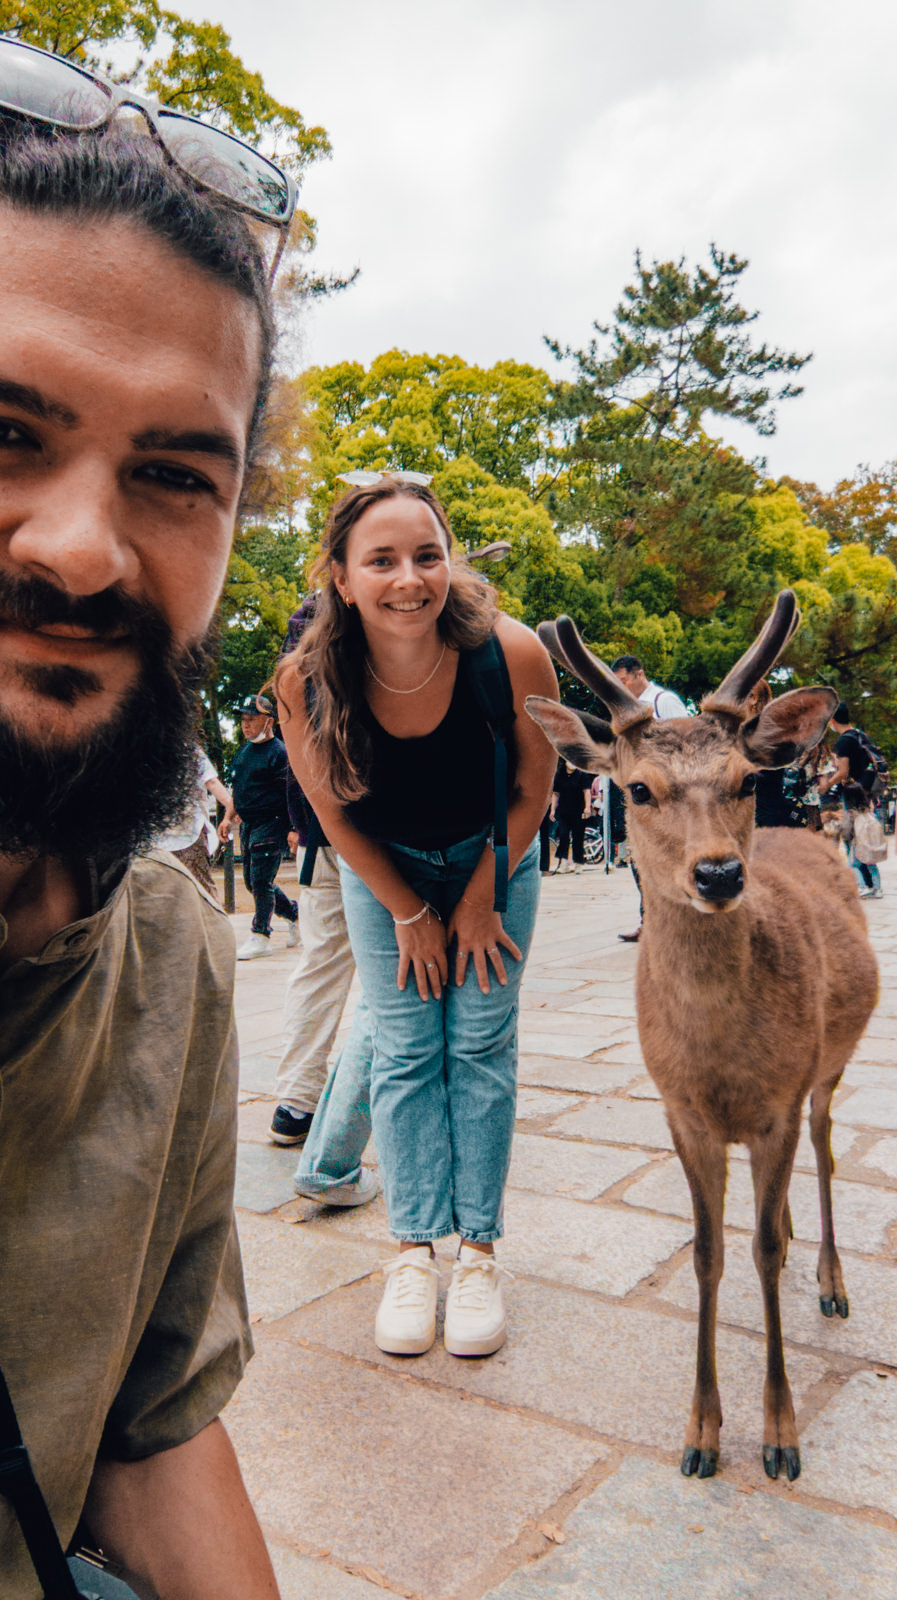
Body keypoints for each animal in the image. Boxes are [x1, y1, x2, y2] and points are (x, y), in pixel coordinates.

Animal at [524, 595, 876, 1478]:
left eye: (745, 780)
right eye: (637, 788)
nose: (718, 874)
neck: (720, 1065)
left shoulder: (777, 1102)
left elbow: (761, 1253)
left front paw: (780, 1437)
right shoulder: (679, 1112)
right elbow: (708, 1252)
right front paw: (700, 1434)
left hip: (828, 1064)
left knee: (824, 1149)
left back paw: (832, 1281)